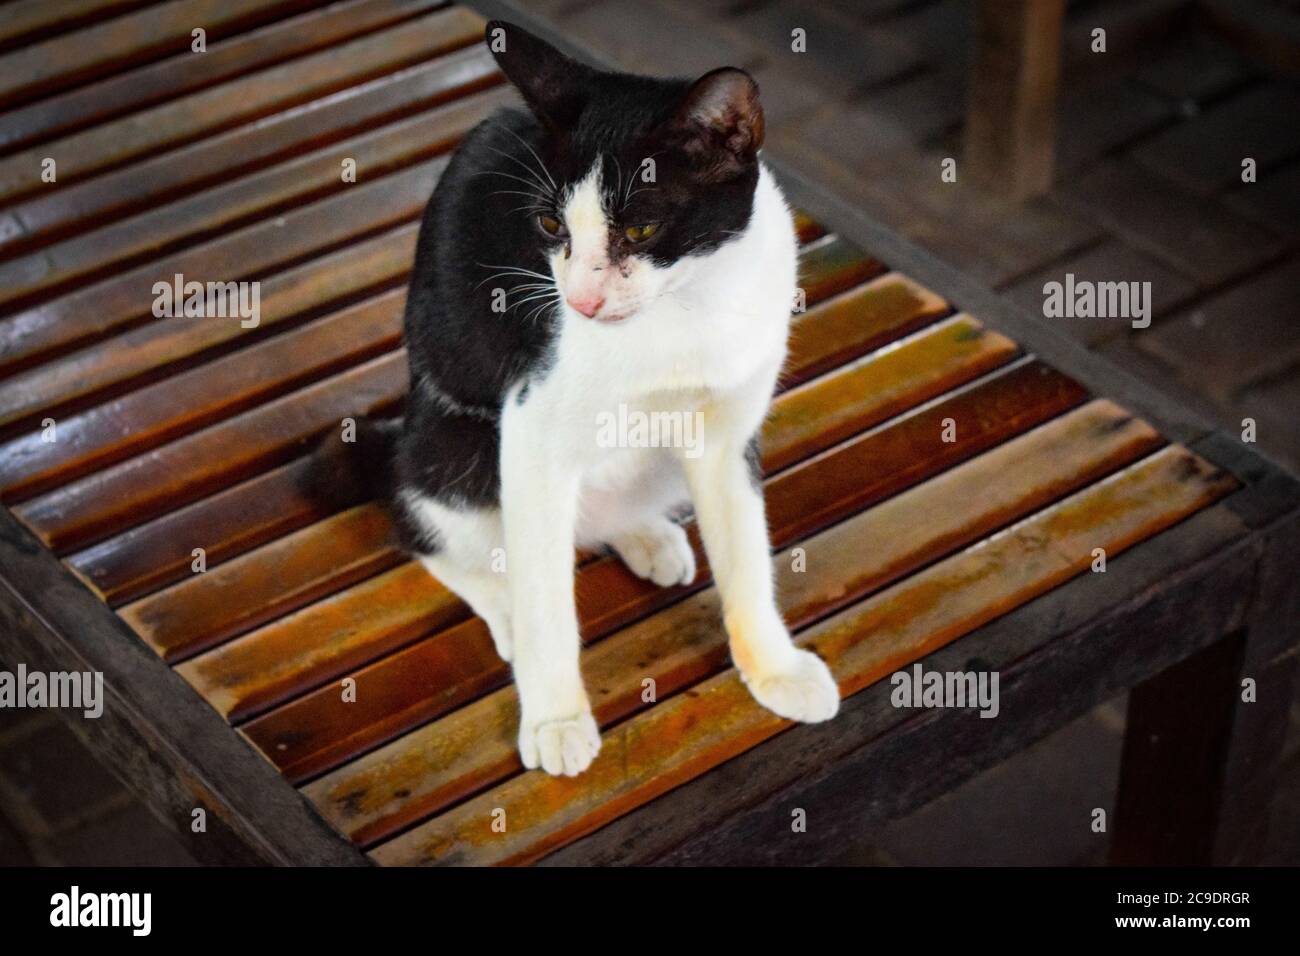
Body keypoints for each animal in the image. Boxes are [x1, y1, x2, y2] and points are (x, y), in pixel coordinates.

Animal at [366, 22, 837, 780]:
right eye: (549, 227)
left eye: (641, 230)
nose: (582, 301)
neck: (685, 307)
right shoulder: (530, 423)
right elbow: (544, 595)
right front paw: (555, 717)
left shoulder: (728, 430)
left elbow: (746, 549)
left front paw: (773, 666)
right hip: (453, 443)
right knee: (429, 523)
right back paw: (505, 603)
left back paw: (645, 534)